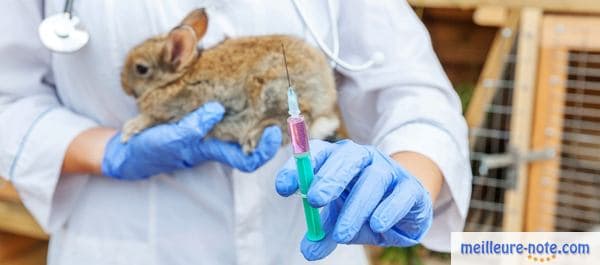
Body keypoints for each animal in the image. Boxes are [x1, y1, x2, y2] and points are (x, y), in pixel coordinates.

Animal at [119, 8, 340, 153]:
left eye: (141, 69)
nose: (124, 85)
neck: (177, 78)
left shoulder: (177, 108)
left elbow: (151, 119)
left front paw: (129, 130)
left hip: (271, 89)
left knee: (299, 117)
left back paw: (255, 135)